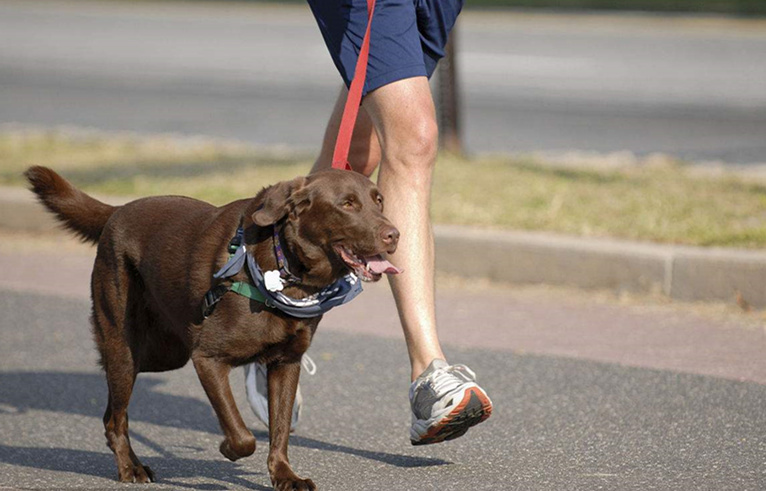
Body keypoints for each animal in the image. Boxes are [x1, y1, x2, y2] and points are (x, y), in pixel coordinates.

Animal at [24, 166, 402, 491]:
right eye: (347, 204)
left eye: (379, 200)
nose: (395, 234)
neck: (285, 268)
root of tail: (117, 212)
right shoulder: (207, 358)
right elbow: (242, 434)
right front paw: (228, 450)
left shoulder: (286, 364)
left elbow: (279, 430)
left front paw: (284, 476)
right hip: (125, 347)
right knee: (116, 416)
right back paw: (130, 468)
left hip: (164, 353)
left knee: (110, 413)